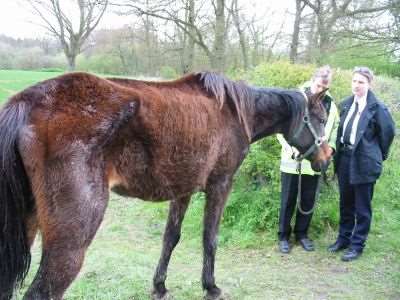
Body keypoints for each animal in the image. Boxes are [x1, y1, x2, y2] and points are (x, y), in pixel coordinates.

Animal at [0, 71, 332, 298]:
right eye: (320, 117)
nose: (327, 157)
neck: (235, 112)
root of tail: (26, 103)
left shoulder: (182, 190)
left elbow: (170, 238)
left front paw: (159, 285)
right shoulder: (220, 184)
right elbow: (209, 239)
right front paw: (210, 287)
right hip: (69, 243)